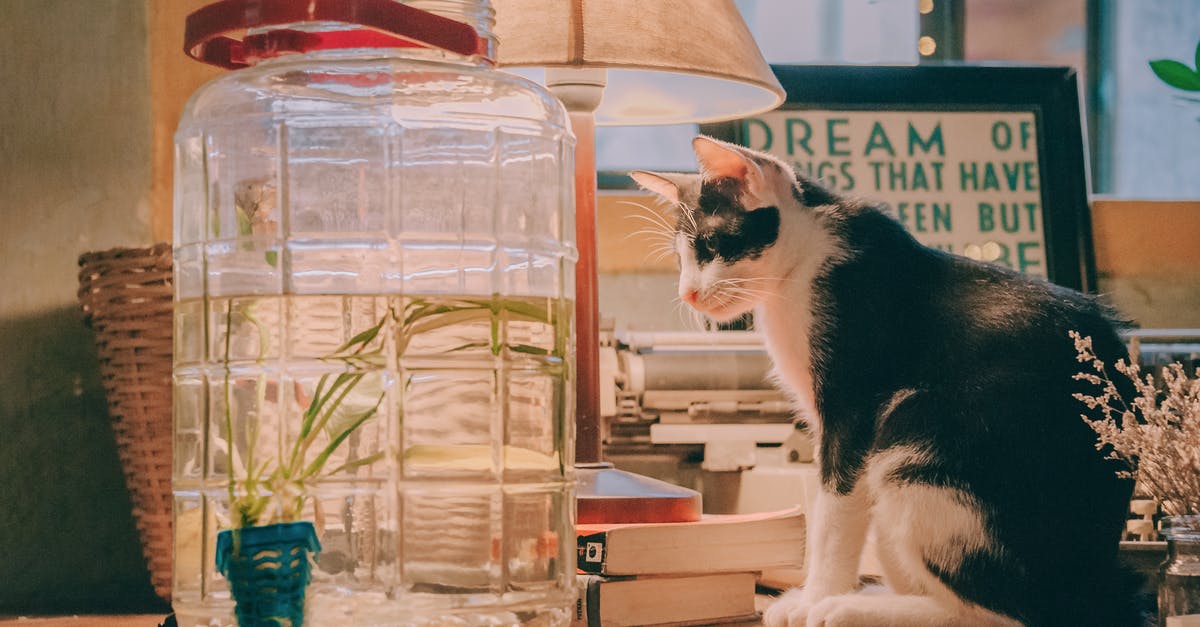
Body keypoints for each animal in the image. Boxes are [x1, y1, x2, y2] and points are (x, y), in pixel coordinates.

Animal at [633, 136, 1137, 624]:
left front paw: (815, 596)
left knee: (1006, 614)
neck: (803, 264)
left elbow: (833, 511)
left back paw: (850, 608)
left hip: (915, 430)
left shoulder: (853, 407)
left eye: (711, 245)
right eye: (680, 258)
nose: (688, 294)